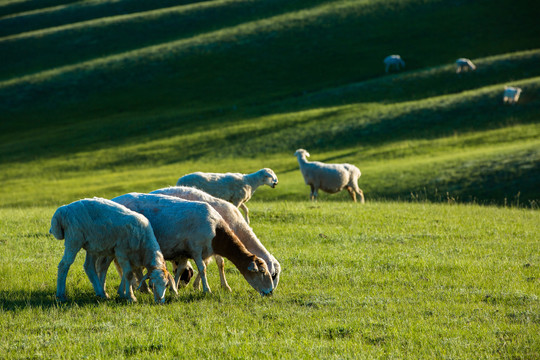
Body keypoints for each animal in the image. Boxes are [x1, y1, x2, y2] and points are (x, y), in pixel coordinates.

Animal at [49, 197, 177, 304]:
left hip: (92, 244)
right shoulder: (122, 252)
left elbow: (127, 273)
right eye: (151, 285)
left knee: (89, 266)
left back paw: (102, 293)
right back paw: (61, 295)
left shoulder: (131, 257)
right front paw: (131, 297)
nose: (160, 302)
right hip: (74, 238)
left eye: (166, 285)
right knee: (64, 265)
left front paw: (122, 293)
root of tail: (62, 210)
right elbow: (129, 274)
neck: (144, 244)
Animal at [108, 193, 274, 296]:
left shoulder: (184, 252)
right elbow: (203, 269)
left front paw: (174, 289)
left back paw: (140, 288)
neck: (216, 232)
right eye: (262, 272)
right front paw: (207, 290)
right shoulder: (196, 249)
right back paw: (138, 287)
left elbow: (180, 269)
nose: (270, 292)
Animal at [149, 186, 280, 290]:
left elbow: (213, 263)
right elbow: (217, 263)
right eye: (273, 275)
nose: (272, 290)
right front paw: (219, 286)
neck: (238, 228)